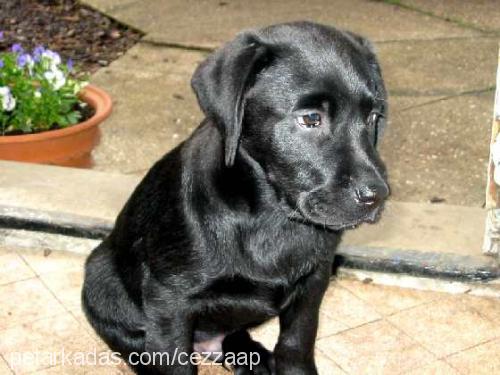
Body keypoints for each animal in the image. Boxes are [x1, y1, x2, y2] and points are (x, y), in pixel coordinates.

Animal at [82, 21, 388, 375]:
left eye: (373, 117)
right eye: (311, 118)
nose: (377, 196)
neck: (273, 217)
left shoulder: (313, 284)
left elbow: (296, 346)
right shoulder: (169, 302)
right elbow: (173, 362)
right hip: (101, 281)